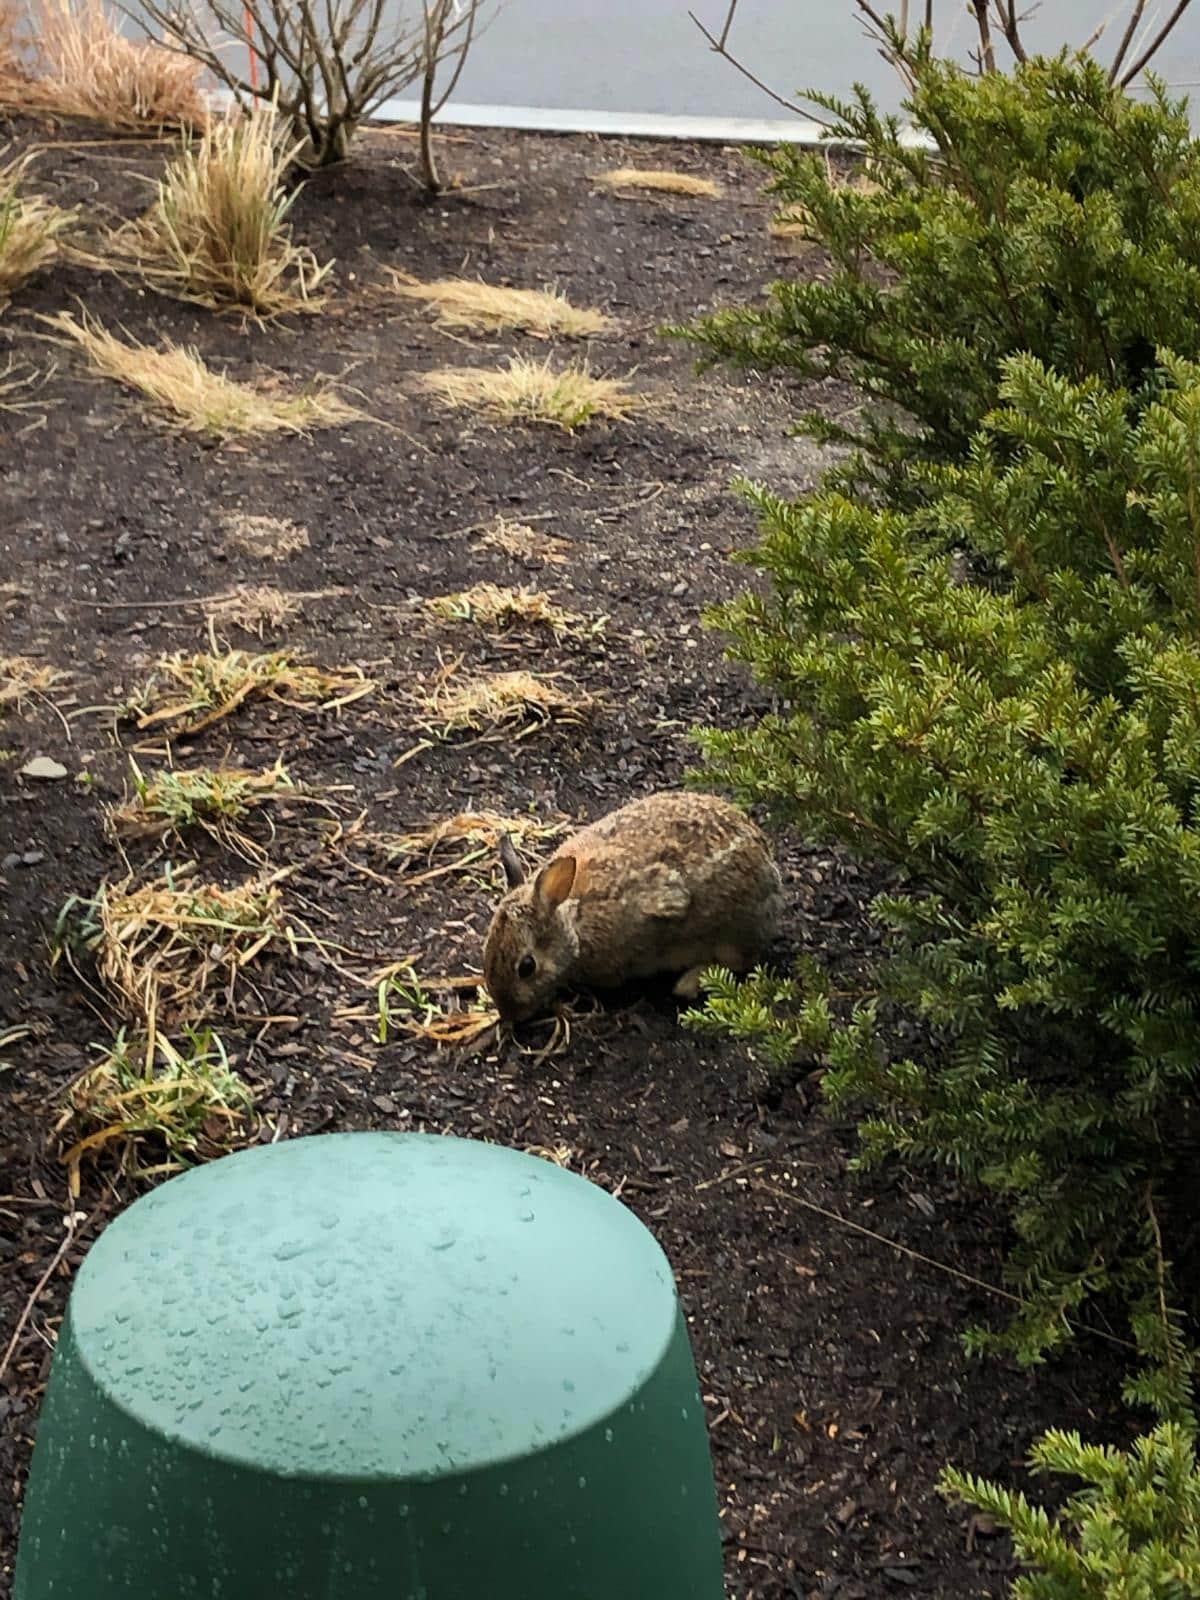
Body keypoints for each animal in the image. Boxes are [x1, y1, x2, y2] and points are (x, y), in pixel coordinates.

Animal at [483, 790, 784, 1024]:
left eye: (527, 967)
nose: (509, 1016)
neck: (574, 919)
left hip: (735, 929)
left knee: (740, 961)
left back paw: (688, 983)